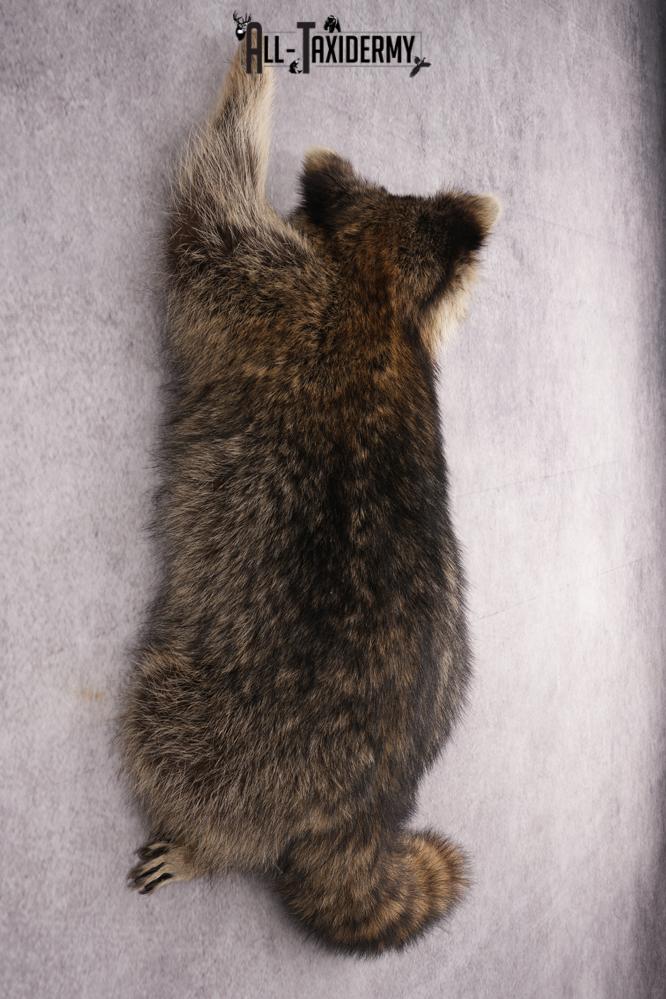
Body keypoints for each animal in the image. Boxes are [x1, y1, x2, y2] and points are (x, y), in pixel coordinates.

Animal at [121, 41, 500, 955]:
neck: (378, 284)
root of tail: (362, 819)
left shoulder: (272, 285)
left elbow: (207, 210)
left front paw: (249, 85)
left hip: (237, 732)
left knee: (171, 736)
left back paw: (204, 843)